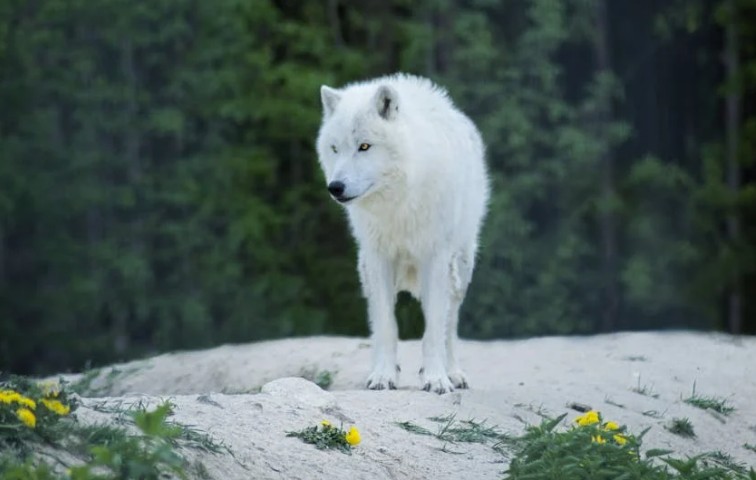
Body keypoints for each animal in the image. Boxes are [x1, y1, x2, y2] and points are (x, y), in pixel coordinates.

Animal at [316, 74, 489, 394]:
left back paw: (454, 373)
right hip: (366, 272)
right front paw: (383, 376)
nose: (335, 187)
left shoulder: (435, 257)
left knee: (449, 325)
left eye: (364, 146)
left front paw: (436, 378)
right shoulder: (379, 258)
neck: (397, 202)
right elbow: (386, 325)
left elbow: (434, 329)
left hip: (459, 269)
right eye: (335, 149)